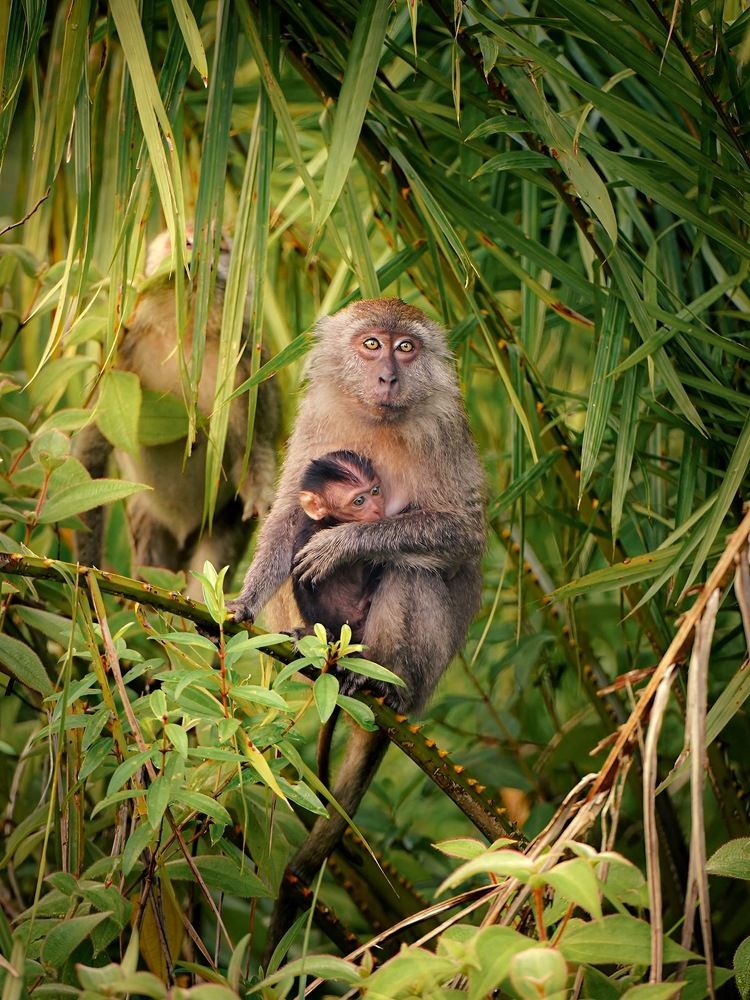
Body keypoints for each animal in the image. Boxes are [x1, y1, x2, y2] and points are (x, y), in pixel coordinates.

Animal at [73, 228, 279, 598]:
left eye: (220, 248)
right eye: (185, 242)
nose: (200, 259)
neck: (185, 336)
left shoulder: (246, 365)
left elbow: (253, 448)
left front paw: (263, 502)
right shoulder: (122, 356)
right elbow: (90, 459)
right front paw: (88, 571)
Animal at [225, 298, 485, 961]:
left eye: (406, 347)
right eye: (371, 344)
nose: (388, 375)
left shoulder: (444, 429)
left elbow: (462, 536)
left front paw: (348, 542)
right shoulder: (318, 415)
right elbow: (286, 517)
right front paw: (242, 602)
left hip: (422, 670)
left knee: (409, 571)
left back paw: (378, 686)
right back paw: (313, 653)